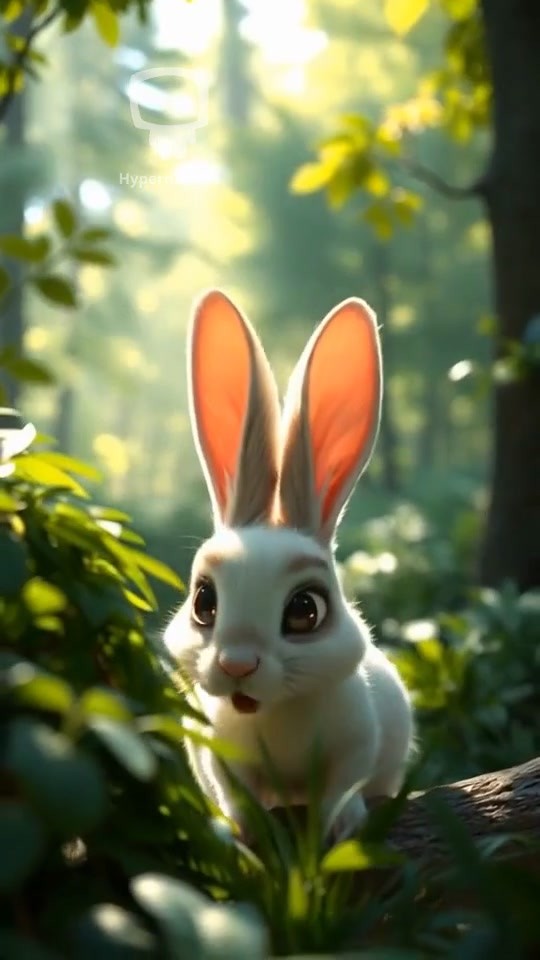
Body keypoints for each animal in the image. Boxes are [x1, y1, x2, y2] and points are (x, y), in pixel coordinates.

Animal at [164, 289, 414, 843]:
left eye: (305, 610)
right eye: (204, 601)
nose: (237, 665)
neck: (273, 712)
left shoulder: (357, 744)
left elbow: (342, 786)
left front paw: (340, 825)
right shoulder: (223, 760)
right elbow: (239, 796)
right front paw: (243, 831)